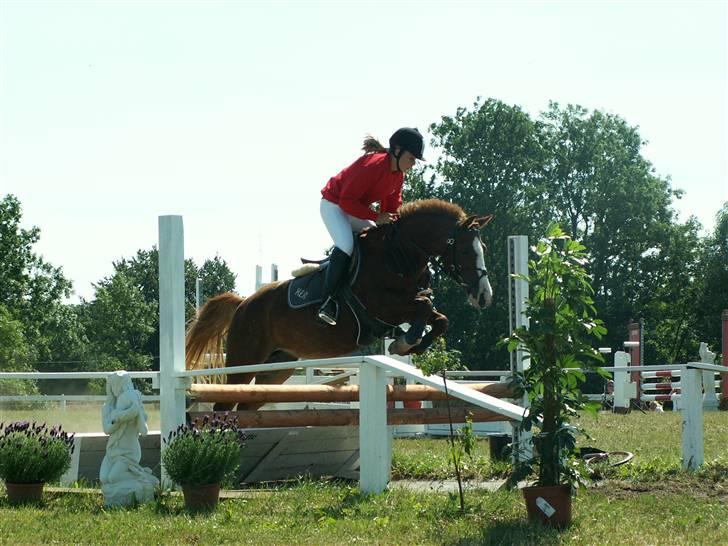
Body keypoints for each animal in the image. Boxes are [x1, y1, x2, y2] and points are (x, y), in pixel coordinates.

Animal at [186, 197, 494, 408]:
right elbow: (424, 307)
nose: (484, 297)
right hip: (244, 359)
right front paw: (406, 342)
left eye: (484, 249)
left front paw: (411, 343)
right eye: (466, 251)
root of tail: (243, 303)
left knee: (248, 404)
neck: (397, 256)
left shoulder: (404, 307)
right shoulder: (384, 309)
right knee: (225, 403)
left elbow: (439, 318)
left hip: (278, 368)